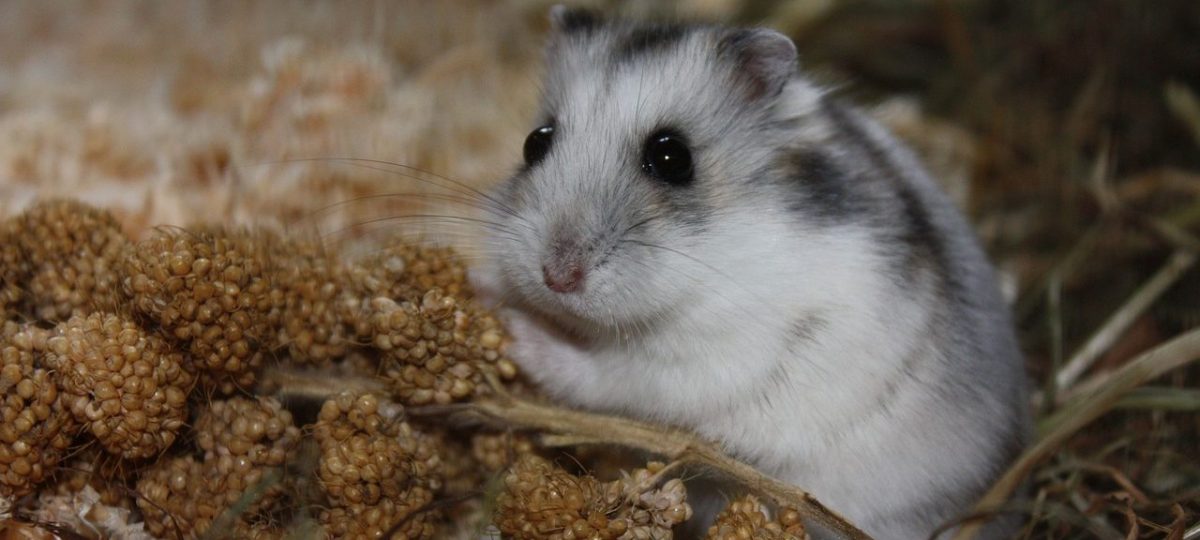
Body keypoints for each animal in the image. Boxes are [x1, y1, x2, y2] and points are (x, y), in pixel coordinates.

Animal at [474, 7, 1030, 539]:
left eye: (672, 156)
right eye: (534, 142)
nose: (557, 276)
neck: (707, 263)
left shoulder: (698, 363)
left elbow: (600, 374)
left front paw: (515, 331)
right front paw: (484, 288)